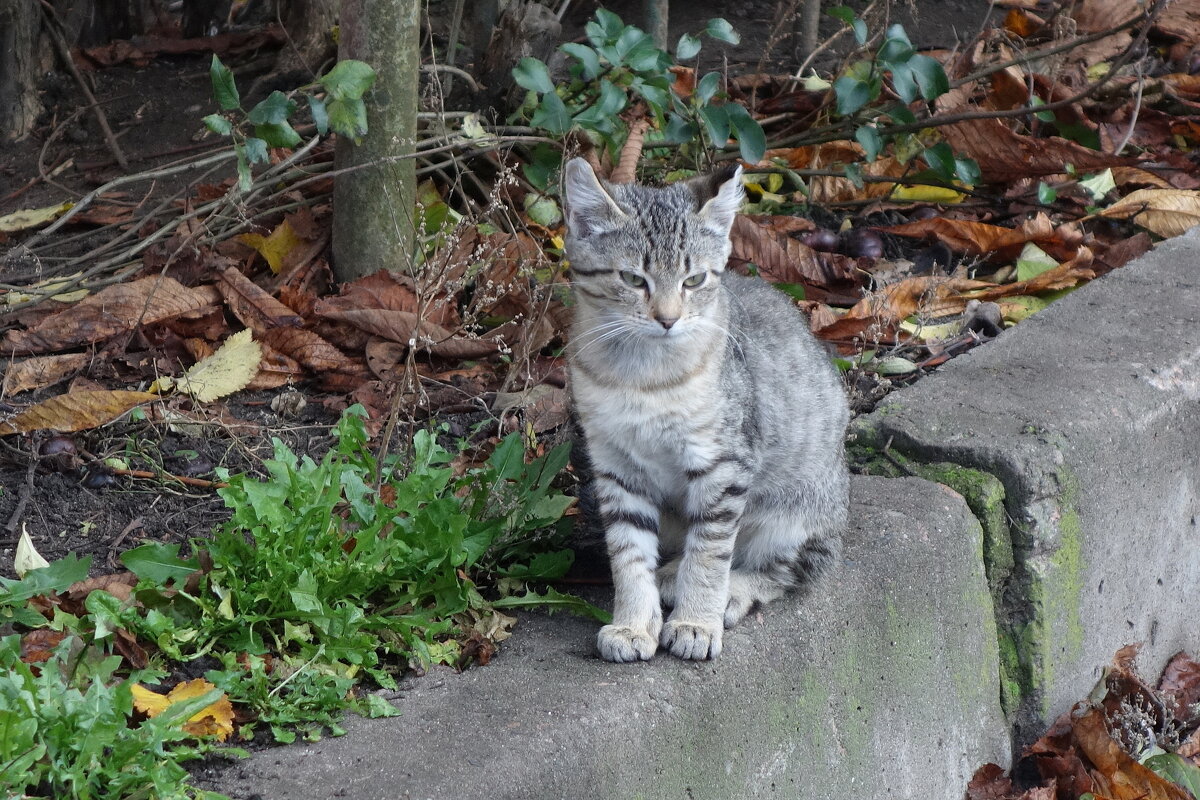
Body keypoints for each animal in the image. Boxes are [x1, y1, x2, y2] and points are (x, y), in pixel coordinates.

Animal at [564, 158, 854, 662]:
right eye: (633, 279)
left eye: (694, 280)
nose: (667, 319)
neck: (642, 375)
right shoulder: (616, 465)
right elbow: (628, 552)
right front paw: (633, 623)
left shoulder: (723, 463)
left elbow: (711, 552)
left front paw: (697, 620)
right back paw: (668, 573)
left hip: (795, 514)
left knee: (791, 569)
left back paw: (731, 591)